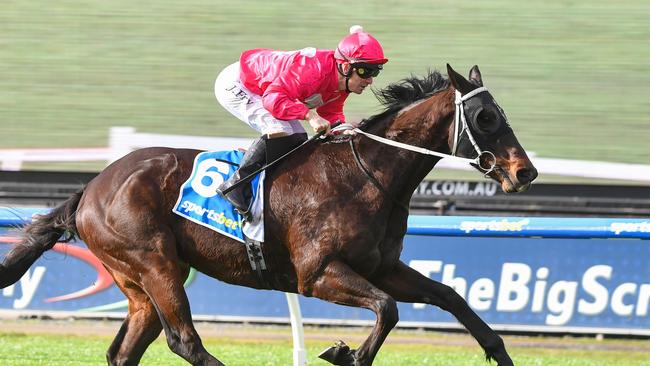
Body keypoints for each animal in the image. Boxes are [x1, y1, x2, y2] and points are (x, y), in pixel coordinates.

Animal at [0, 64, 536, 364]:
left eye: (502, 114)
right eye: (486, 118)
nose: (525, 171)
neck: (366, 173)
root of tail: (91, 187)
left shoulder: (382, 266)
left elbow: (449, 296)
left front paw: (499, 351)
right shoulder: (317, 274)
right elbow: (387, 309)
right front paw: (345, 354)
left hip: (137, 284)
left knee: (126, 351)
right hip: (156, 264)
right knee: (184, 341)